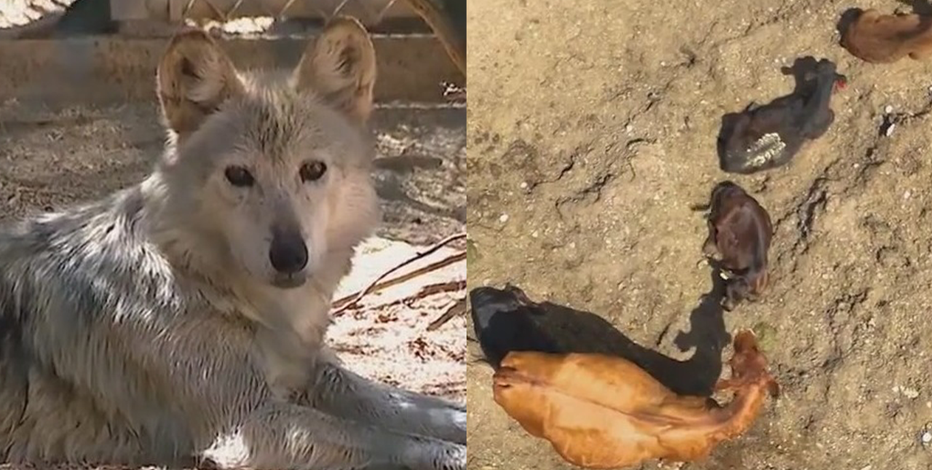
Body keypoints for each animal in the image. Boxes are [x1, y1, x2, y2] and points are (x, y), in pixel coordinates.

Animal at [0, 17, 465, 470]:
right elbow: (407, 443)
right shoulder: (249, 423)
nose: (290, 256)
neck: (193, 277)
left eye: (312, 169)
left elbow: (431, 412)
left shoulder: (314, 373)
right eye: (239, 175)